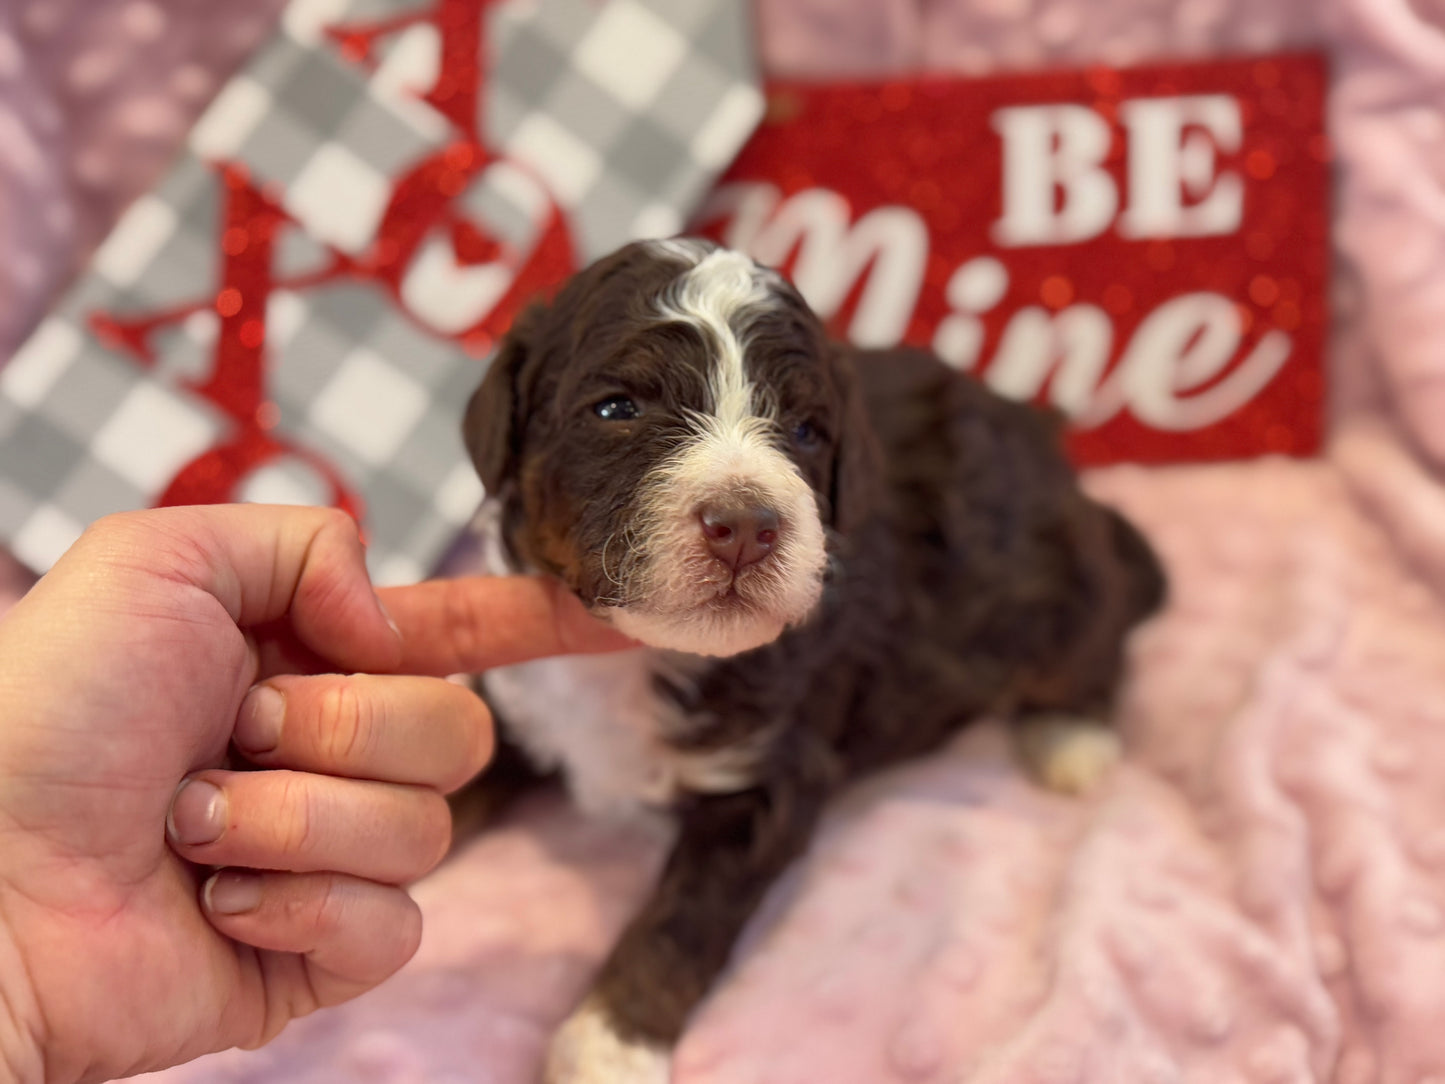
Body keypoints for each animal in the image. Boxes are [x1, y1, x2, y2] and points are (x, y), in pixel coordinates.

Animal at [459, 239, 1161, 1084]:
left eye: (803, 429)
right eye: (617, 409)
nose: (744, 525)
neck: (632, 651)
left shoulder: (770, 779)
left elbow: (680, 919)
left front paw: (607, 1046)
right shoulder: (512, 692)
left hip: (1049, 587)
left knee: (1100, 632)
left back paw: (1070, 739)